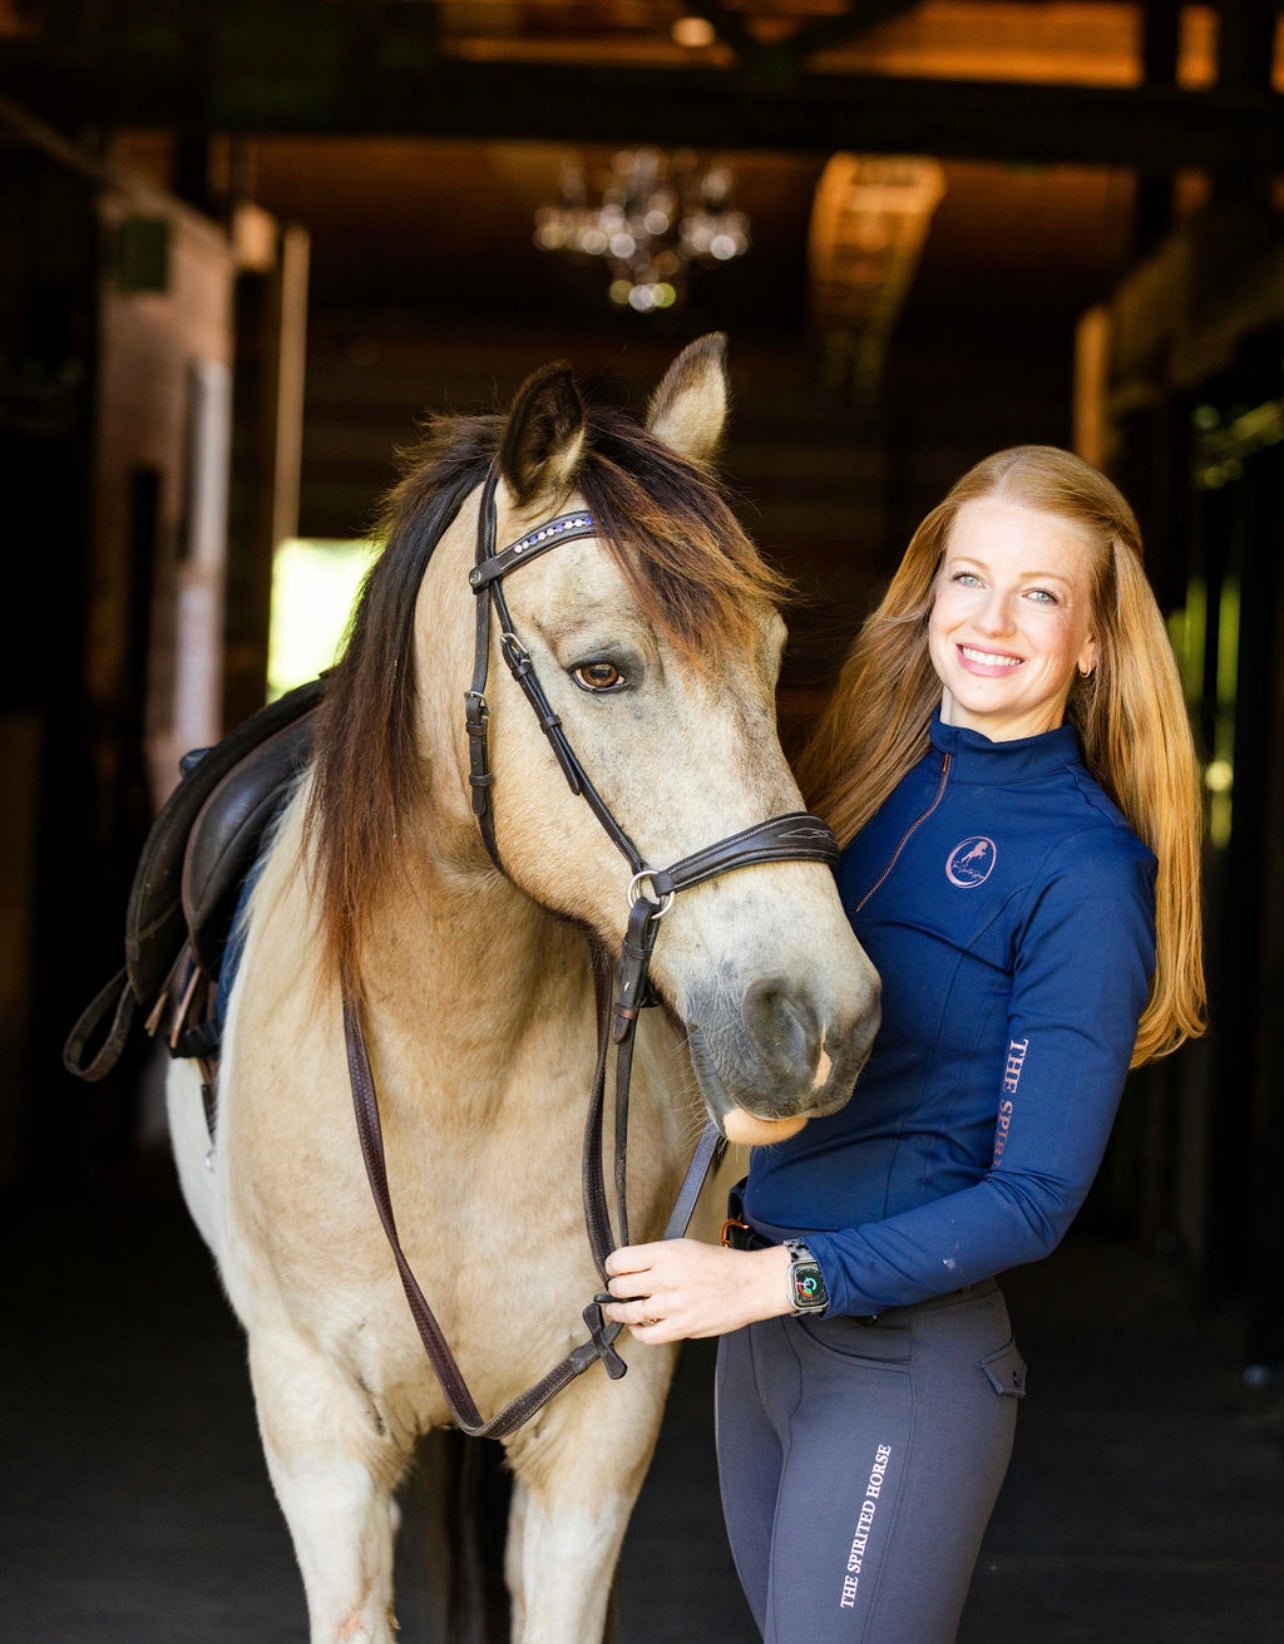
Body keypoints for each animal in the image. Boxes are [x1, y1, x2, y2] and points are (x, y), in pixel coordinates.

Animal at [165, 332, 881, 1643]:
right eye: (601, 671)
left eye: (769, 663)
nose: (825, 1020)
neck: (452, 1061)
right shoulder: (315, 1424)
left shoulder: (603, 1425)